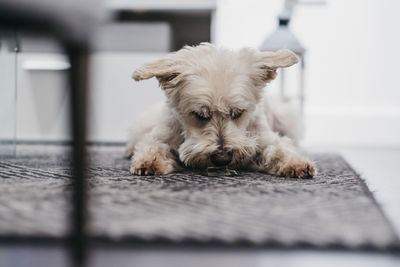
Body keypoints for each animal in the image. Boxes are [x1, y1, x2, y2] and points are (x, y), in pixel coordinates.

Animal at [126, 43, 314, 179]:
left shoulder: (264, 137)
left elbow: (280, 148)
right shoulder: (162, 134)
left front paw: (295, 163)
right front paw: (149, 161)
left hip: (285, 117)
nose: (222, 159)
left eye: (238, 113)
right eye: (199, 115)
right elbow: (153, 145)